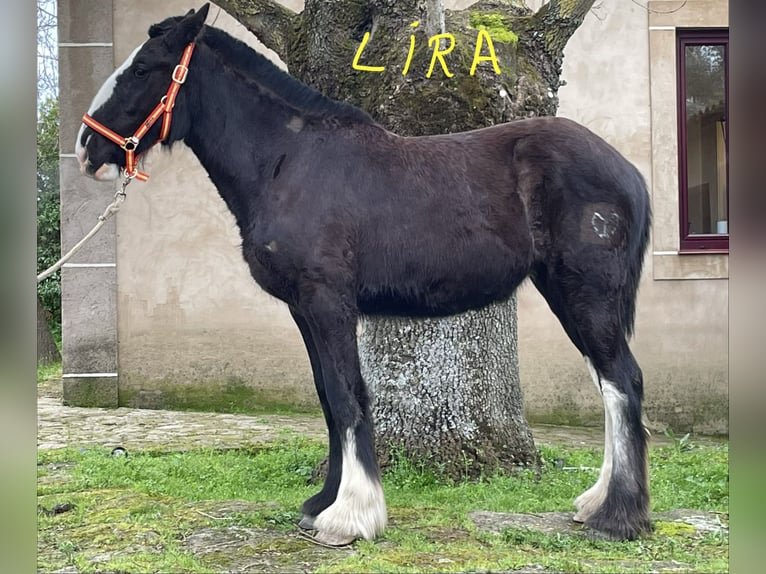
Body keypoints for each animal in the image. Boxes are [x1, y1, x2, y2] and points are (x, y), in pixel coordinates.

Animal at [75, 4, 652, 544]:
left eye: (144, 67)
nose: (86, 148)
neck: (289, 160)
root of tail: (627, 172)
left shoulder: (329, 302)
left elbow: (348, 394)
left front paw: (351, 515)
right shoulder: (304, 309)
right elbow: (328, 399)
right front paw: (322, 504)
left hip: (586, 295)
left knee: (621, 381)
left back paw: (617, 516)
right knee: (609, 382)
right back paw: (597, 503)